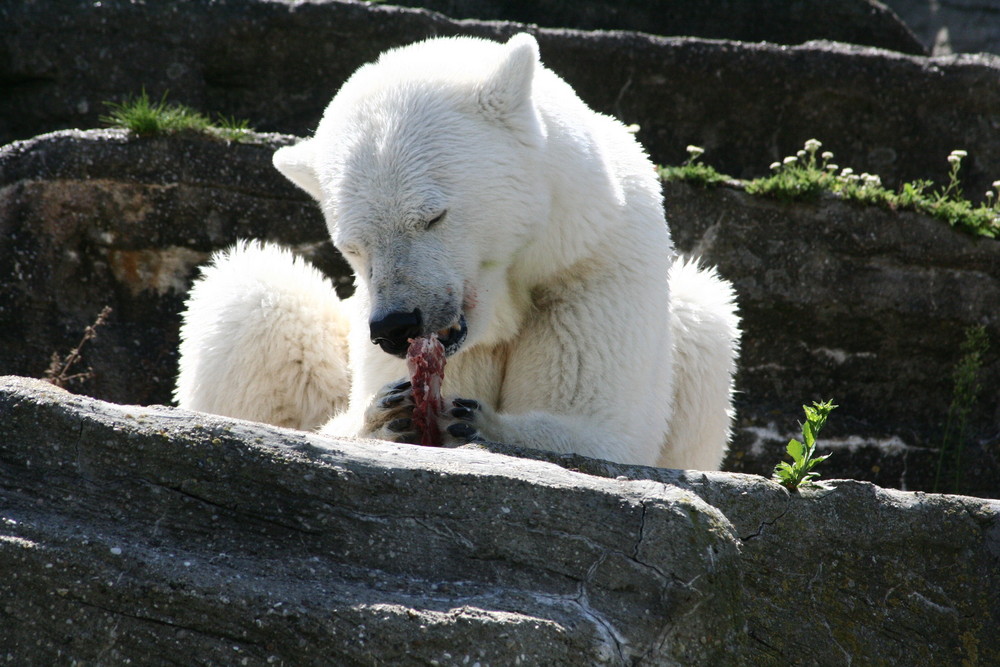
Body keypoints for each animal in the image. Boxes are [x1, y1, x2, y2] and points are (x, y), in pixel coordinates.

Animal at [176, 32, 740, 470]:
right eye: (353, 245)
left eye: (433, 216)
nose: (395, 325)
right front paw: (386, 411)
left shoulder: (592, 263)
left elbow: (599, 428)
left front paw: (473, 420)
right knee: (254, 292)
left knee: (705, 317)